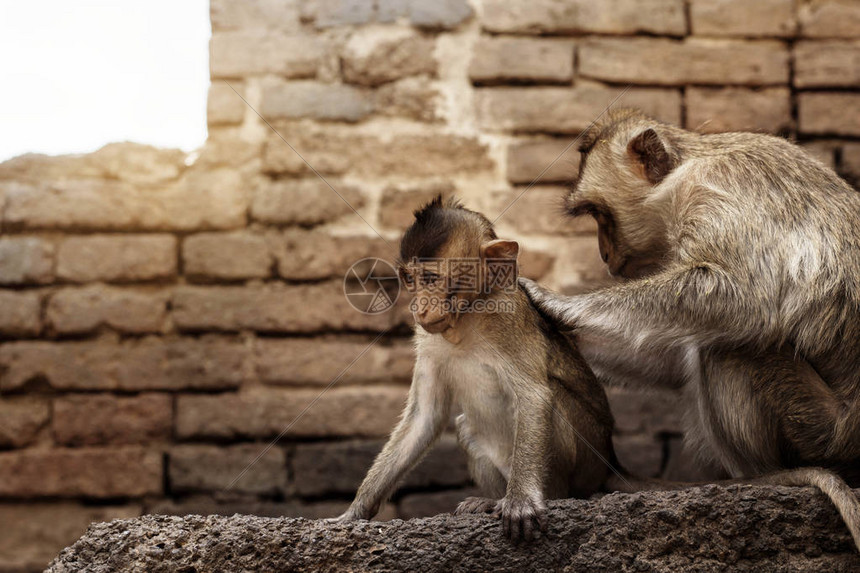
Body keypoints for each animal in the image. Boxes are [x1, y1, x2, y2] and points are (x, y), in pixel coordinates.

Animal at [340, 194, 616, 540]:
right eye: (409, 279)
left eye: (430, 278)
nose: (419, 307)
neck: (467, 317)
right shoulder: (427, 339)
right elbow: (424, 417)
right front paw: (355, 511)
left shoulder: (508, 317)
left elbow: (535, 397)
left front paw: (521, 500)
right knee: (466, 426)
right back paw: (490, 501)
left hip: (588, 466)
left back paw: (544, 497)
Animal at [520, 108, 860, 482]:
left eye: (599, 213)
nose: (603, 253)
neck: (686, 168)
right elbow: (673, 358)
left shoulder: (717, 188)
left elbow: (741, 295)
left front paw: (558, 304)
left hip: (821, 434)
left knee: (731, 344)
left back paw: (767, 475)